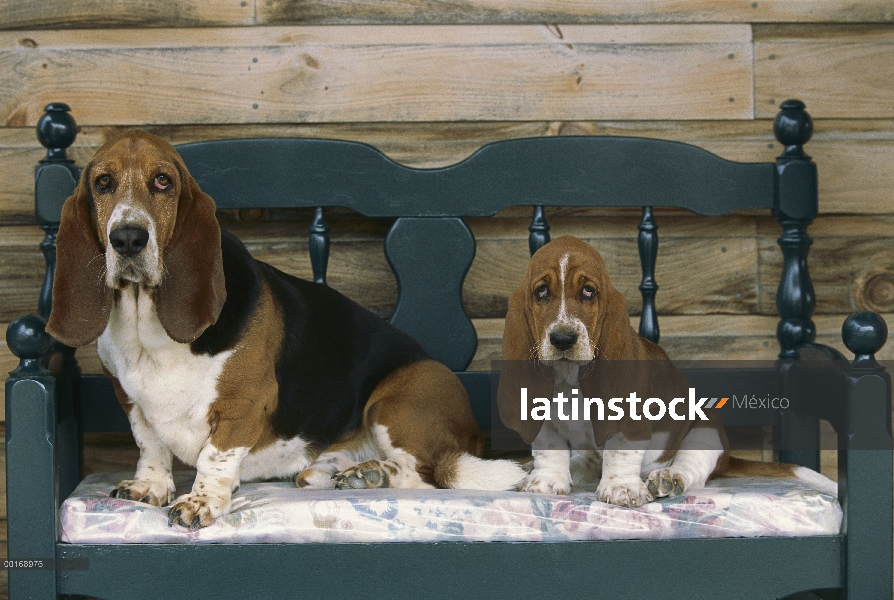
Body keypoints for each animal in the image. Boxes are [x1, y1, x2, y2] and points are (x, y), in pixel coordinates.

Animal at [47, 132, 524, 528]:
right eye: (103, 183)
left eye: (163, 181)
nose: (128, 238)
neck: (147, 325)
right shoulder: (128, 399)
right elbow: (149, 444)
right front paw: (152, 485)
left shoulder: (243, 406)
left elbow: (213, 457)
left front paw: (201, 501)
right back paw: (357, 473)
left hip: (397, 400)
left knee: (429, 475)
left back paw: (374, 475)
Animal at [504, 236, 840, 506]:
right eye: (542, 292)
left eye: (588, 292)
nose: (562, 339)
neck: (570, 378)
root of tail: (728, 459)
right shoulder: (542, 418)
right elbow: (550, 450)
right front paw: (545, 481)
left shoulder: (631, 422)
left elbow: (620, 452)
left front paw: (622, 488)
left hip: (705, 433)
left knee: (690, 468)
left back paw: (667, 478)